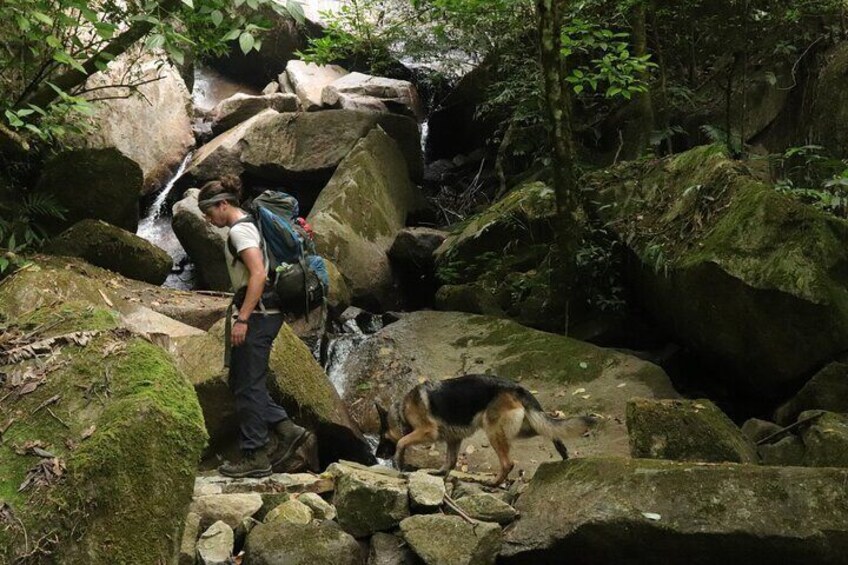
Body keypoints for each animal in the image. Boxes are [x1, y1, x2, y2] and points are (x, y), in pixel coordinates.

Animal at [378, 374, 596, 484]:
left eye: (382, 437)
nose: (377, 454)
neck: (402, 411)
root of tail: (516, 388)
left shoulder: (427, 431)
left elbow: (402, 441)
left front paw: (398, 459)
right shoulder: (453, 439)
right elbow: (450, 460)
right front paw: (439, 474)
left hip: (494, 431)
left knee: (508, 463)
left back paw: (493, 484)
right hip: (523, 427)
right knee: (550, 427)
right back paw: (562, 449)